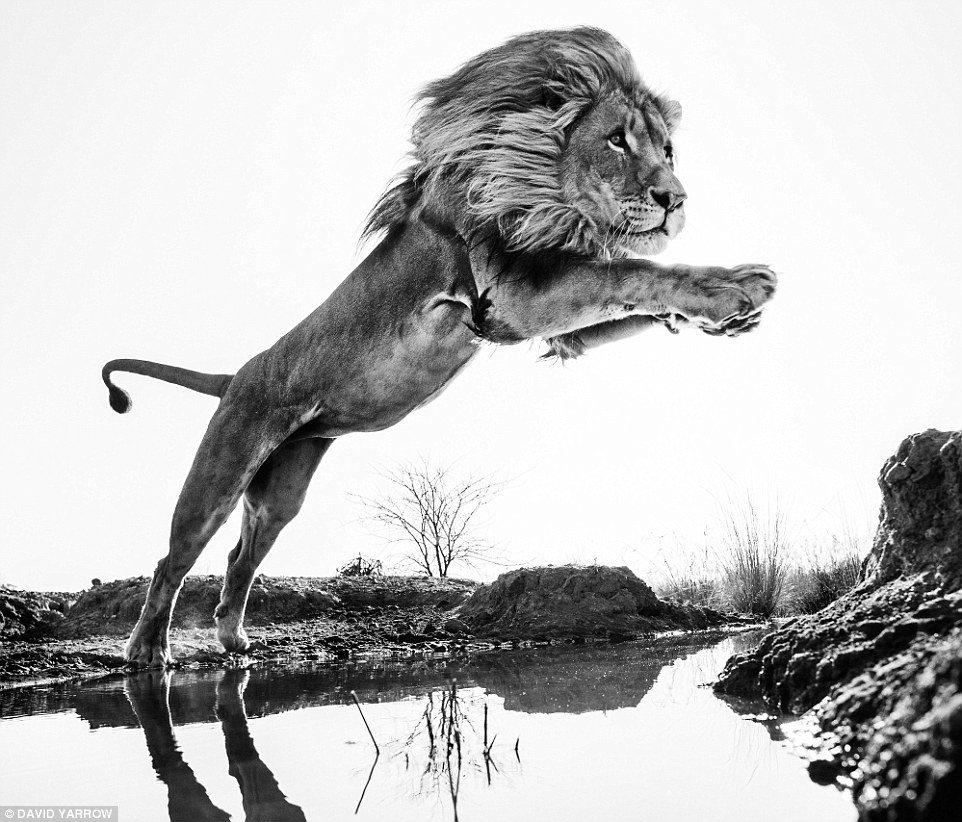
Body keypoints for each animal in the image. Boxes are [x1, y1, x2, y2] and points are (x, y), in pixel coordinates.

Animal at [103, 27, 777, 667]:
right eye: (616, 140)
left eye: (668, 150)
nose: (675, 200)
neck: (537, 184)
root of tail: (236, 376)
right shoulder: (511, 301)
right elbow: (632, 271)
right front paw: (736, 286)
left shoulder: (555, 326)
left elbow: (632, 294)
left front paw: (722, 320)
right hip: (222, 471)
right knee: (174, 559)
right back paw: (147, 650)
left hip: (283, 489)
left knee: (242, 555)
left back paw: (233, 639)